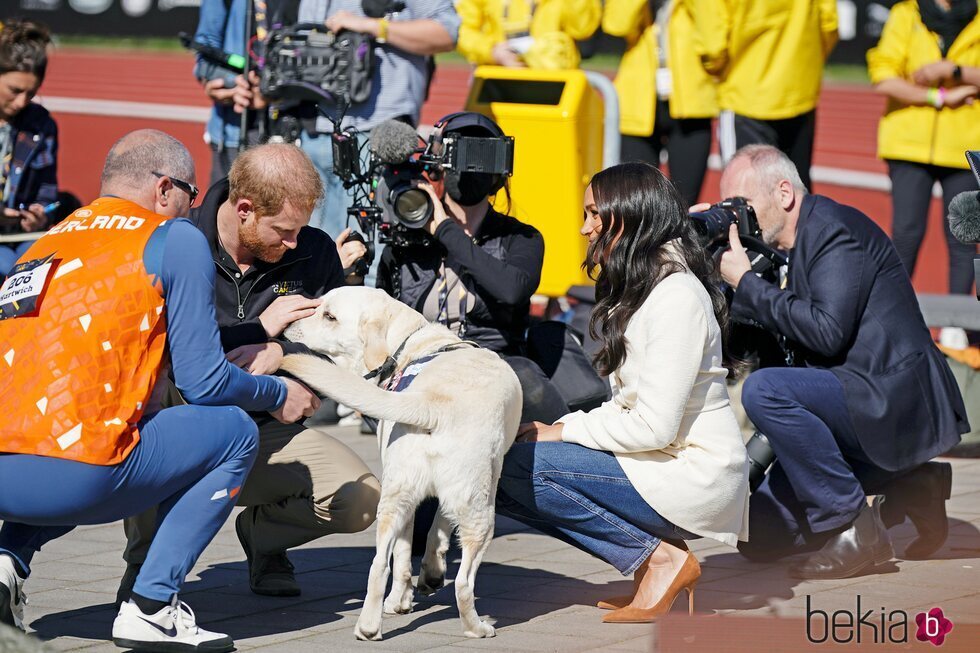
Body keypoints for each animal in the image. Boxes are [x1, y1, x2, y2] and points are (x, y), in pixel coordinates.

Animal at [280, 288, 524, 640]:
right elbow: (438, 527)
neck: (411, 343)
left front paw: (403, 598)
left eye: (329, 315)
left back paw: (370, 626)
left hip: (395, 498)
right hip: (480, 512)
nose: (286, 326)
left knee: (381, 563)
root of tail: (431, 404)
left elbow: (408, 550)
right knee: (463, 583)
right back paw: (476, 627)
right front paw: (430, 575)